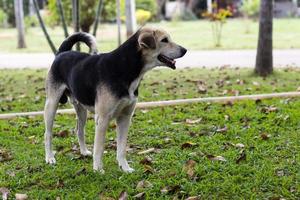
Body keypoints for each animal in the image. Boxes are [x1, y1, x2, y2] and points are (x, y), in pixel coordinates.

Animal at [43, 27, 186, 173]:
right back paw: (50, 158)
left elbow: (121, 148)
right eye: (164, 40)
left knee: (79, 130)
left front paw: (125, 168)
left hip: (81, 109)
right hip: (51, 104)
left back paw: (83, 152)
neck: (125, 66)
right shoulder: (102, 119)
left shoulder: (125, 117)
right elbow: (99, 148)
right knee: (48, 134)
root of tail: (62, 53)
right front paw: (98, 169)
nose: (185, 50)